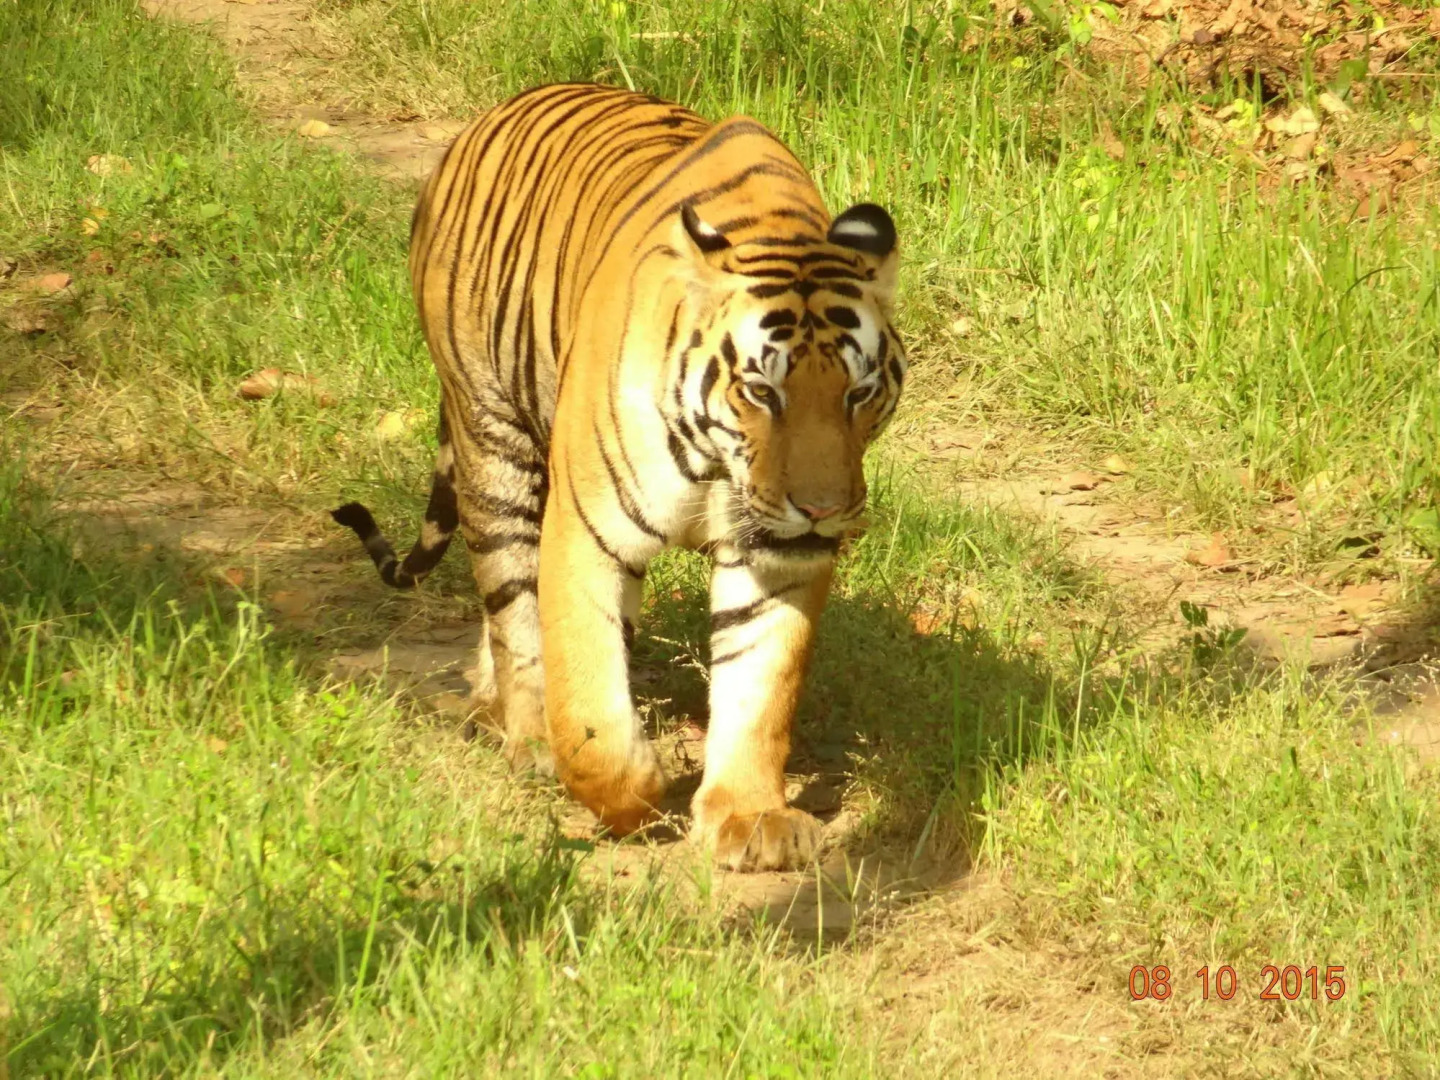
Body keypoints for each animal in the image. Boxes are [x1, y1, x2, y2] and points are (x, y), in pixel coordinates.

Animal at [332, 83, 905, 872]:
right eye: (762, 392)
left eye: (860, 393)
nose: (825, 509)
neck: (718, 460)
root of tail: (494, 114)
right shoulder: (588, 530)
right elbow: (588, 700)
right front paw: (631, 795)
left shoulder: (779, 552)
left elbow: (761, 683)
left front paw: (750, 818)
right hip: (493, 438)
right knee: (512, 604)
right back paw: (528, 733)